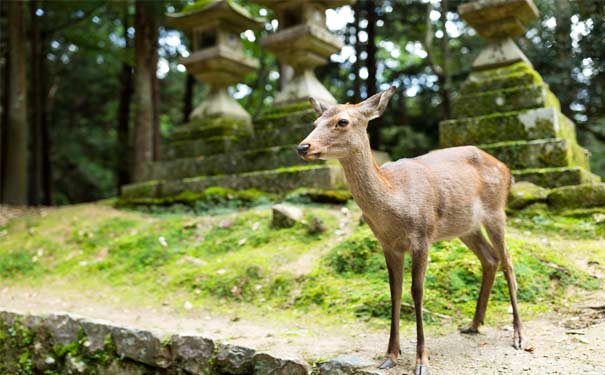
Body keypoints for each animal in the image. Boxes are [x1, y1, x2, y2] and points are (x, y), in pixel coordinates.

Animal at [298, 86, 524, 375]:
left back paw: (518, 336)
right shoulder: (387, 244)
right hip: (466, 227)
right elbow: (394, 290)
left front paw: (421, 361)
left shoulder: (422, 236)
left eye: (342, 121)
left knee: (508, 263)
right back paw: (473, 324)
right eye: (315, 122)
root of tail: (507, 170)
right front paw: (390, 355)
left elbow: (417, 291)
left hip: (496, 211)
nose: (303, 146)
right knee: (490, 259)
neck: (394, 200)